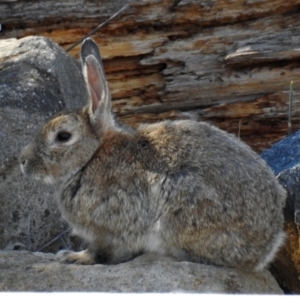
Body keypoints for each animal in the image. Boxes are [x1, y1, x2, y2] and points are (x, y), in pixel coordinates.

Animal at [18, 38, 286, 272]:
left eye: (63, 136)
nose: (22, 161)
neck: (91, 157)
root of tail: (268, 245)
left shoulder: (109, 229)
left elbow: (101, 253)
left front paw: (73, 257)